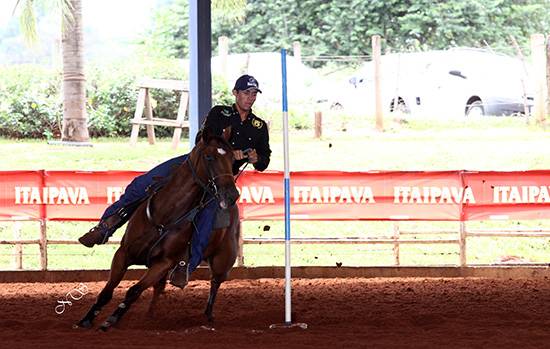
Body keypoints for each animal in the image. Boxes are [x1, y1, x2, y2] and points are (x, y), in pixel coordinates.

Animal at [76, 127, 242, 328]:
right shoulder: (123, 253)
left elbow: (134, 291)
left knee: (215, 283)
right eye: (209, 157)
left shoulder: (163, 264)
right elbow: (107, 291)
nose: (232, 194)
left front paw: (111, 319)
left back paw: (207, 315)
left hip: (222, 261)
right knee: (159, 288)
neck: (166, 214)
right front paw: (86, 319)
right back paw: (150, 315)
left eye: (232, 159)